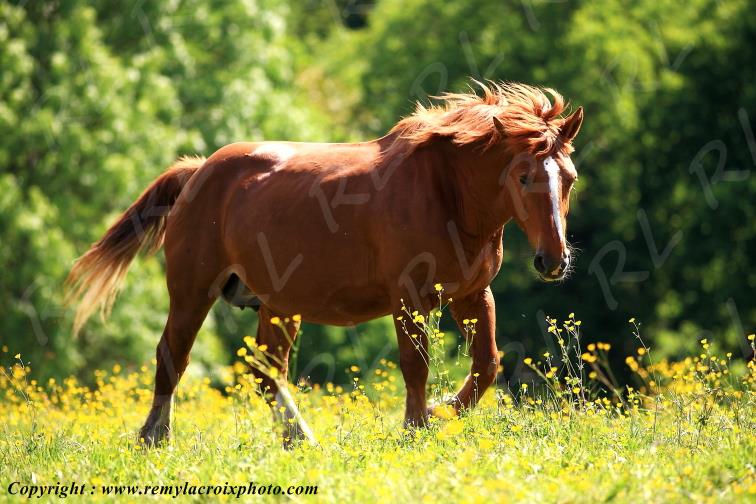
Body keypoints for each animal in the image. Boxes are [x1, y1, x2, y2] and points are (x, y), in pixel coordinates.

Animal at [66, 81, 583, 446]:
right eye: (523, 175)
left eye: (570, 178)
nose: (552, 261)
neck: (445, 192)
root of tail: (197, 172)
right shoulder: (408, 299)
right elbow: (415, 366)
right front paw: (417, 427)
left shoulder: (472, 295)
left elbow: (486, 365)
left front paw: (438, 412)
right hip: (193, 291)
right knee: (172, 357)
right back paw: (156, 437)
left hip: (278, 306)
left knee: (266, 371)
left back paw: (300, 439)